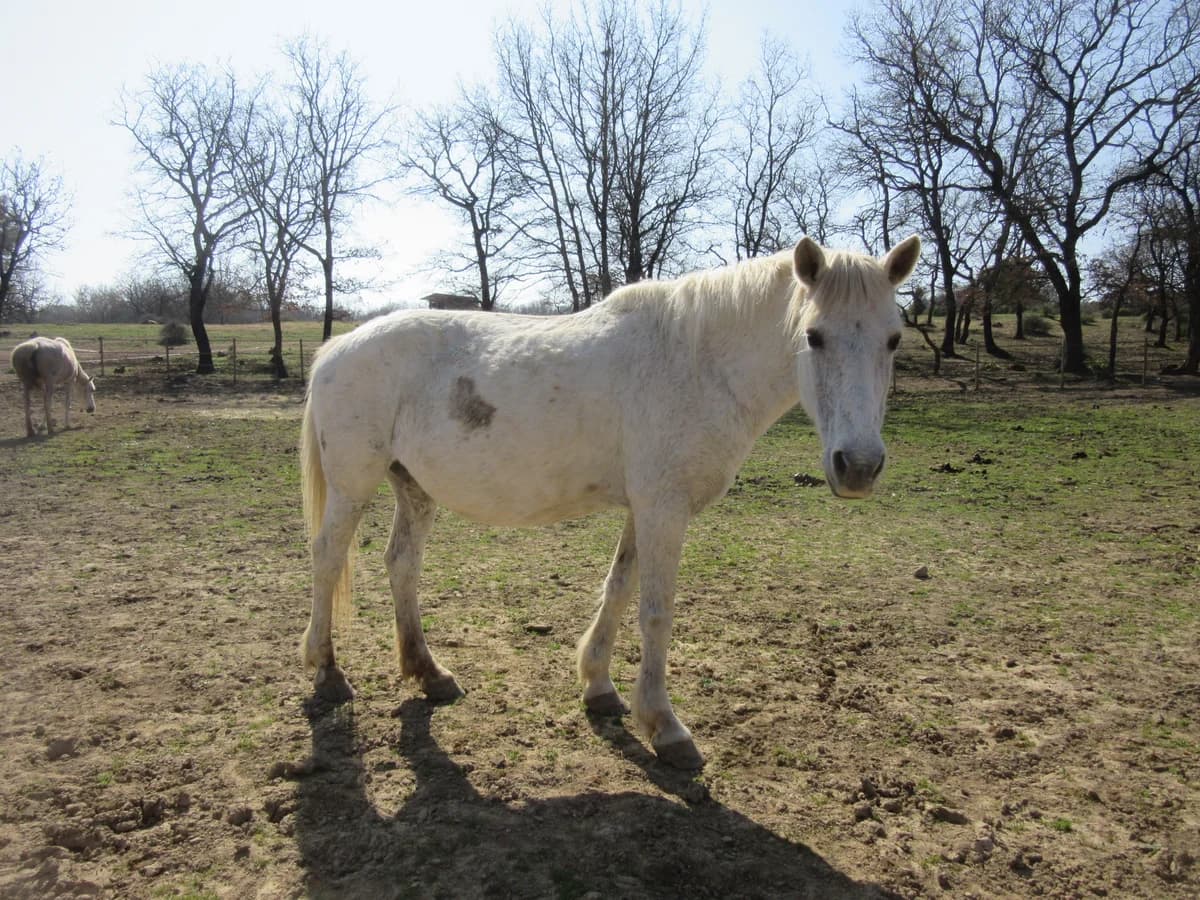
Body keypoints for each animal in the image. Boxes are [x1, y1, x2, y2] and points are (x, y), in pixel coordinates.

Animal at [299, 235, 921, 769]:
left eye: (893, 339)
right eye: (814, 336)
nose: (858, 466)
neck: (697, 364)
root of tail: (337, 348)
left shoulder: (644, 508)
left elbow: (618, 589)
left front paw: (598, 686)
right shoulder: (663, 509)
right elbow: (655, 612)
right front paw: (666, 727)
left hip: (414, 487)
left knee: (401, 564)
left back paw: (429, 673)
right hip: (354, 484)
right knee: (327, 559)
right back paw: (327, 672)